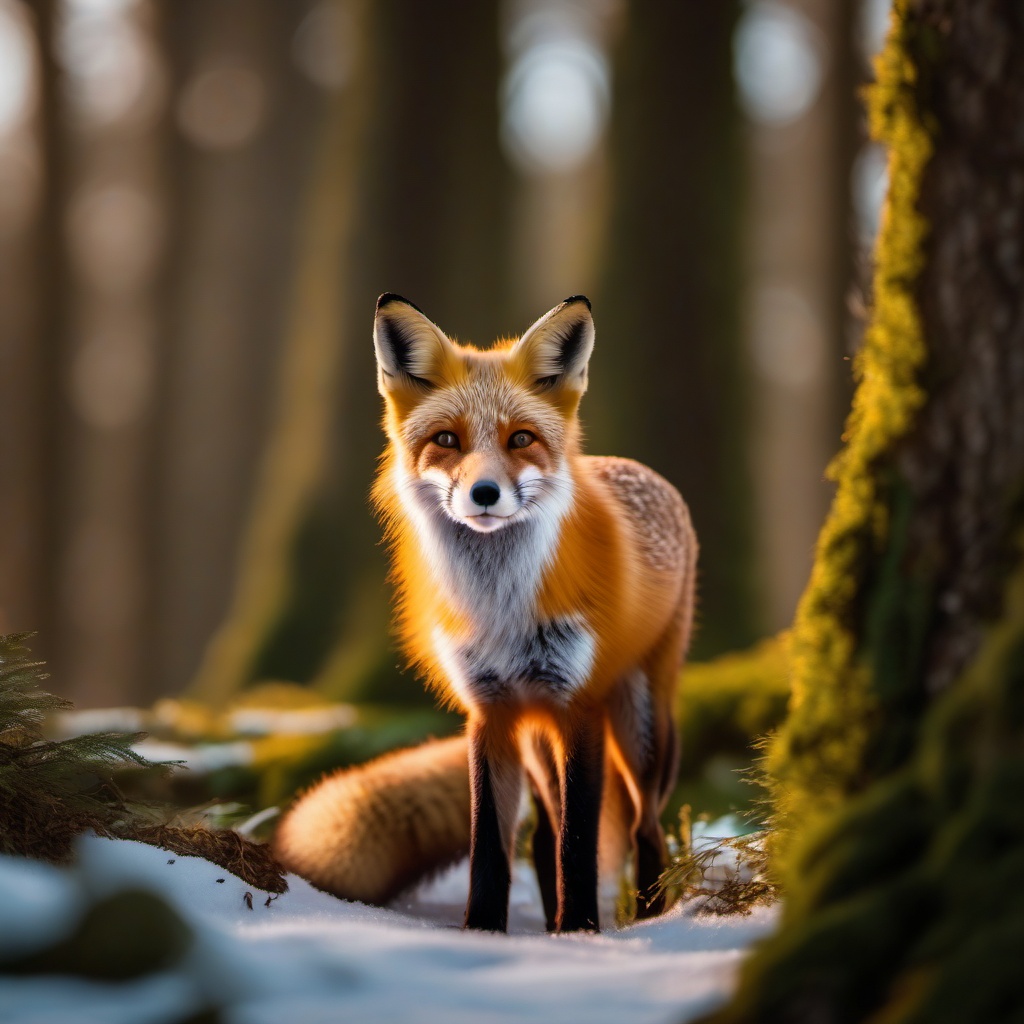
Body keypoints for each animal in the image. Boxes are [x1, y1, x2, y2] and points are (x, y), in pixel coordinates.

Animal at [276, 292, 700, 933]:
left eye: (521, 439)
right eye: (447, 440)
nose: (484, 494)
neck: (502, 608)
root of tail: (645, 471)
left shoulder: (578, 707)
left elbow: (579, 844)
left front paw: (581, 931)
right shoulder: (490, 712)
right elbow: (492, 847)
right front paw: (483, 930)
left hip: (640, 728)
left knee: (644, 828)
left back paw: (646, 917)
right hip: (539, 737)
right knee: (544, 835)